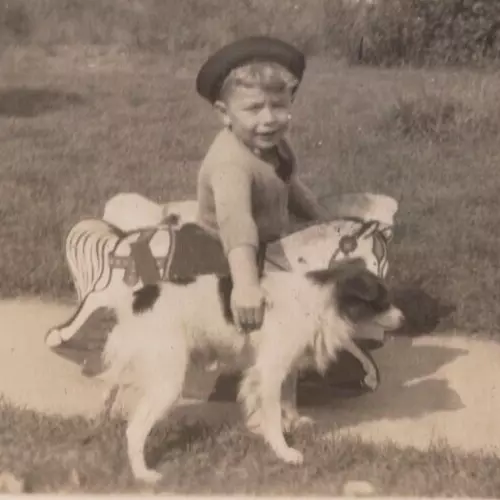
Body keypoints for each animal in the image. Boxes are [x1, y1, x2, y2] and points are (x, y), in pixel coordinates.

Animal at [100, 258, 402, 480]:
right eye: (382, 301)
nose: (404, 319)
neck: (325, 298)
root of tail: (136, 300)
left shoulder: (285, 366)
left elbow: (289, 398)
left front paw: (294, 421)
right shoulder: (269, 371)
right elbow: (272, 415)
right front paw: (284, 451)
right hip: (167, 381)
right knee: (135, 430)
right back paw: (143, 474)